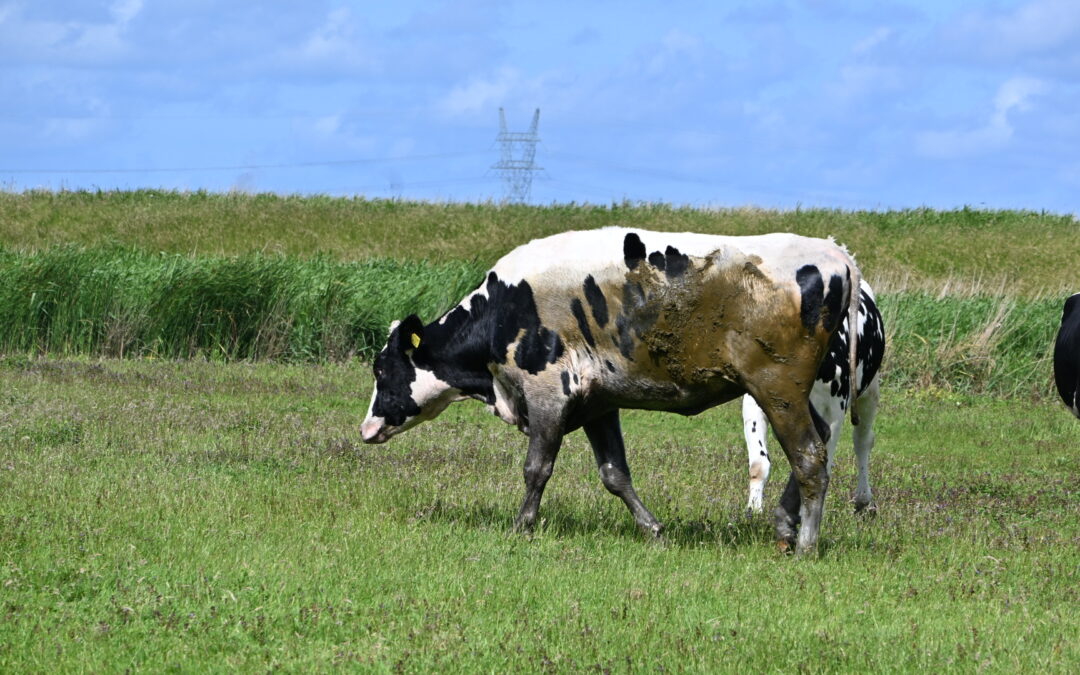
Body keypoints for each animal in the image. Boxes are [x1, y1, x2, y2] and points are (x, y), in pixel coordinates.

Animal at [360, 227, 861, 554]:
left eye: (381, 368)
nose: (366, 428)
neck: (505, 309)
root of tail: (834, 254)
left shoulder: (547, 395)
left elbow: (536, 469)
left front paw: (523, 527)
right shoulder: (598, 405)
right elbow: (614, 474)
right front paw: (652, 529)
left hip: (778, 390)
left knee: (810, 456)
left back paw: (806, 544)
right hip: (795, 395)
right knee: (820, 444)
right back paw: (785, 526)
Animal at [742, 280, 885, 514]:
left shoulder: (835, 410)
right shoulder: (754, 402)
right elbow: (759, 464)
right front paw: (753, 509)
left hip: (869, 394)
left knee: (863, 440)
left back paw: (864, 500)